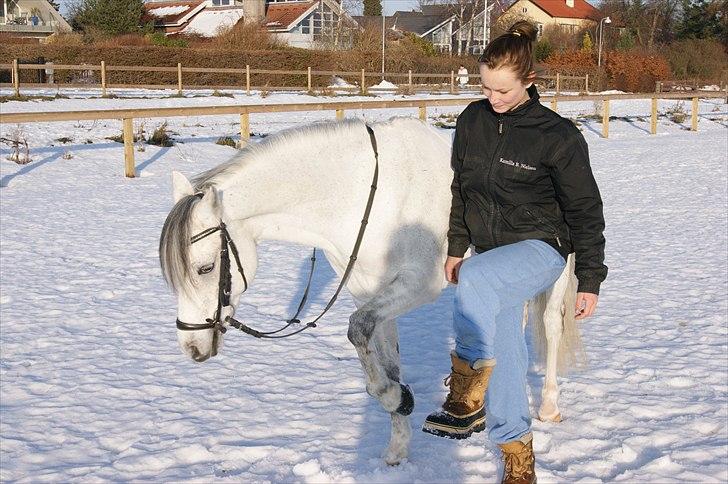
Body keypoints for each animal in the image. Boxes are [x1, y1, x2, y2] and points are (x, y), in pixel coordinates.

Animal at [161, 117, 584, 466]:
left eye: (204, 268)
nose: (191, 347)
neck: (360, 200)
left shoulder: (414, 288)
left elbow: (358, 331)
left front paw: (396, 396)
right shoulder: (370, 294)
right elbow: (382, 354)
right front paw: (398, 442)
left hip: (556, 273)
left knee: (550, 326)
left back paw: (548, 406)